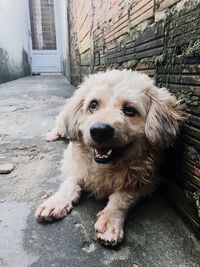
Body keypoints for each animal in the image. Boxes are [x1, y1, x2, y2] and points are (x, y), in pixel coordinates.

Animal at [35, 69, 183, 247]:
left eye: (129, 110)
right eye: (93, 105)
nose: (99, 131)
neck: (105, 166)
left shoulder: (146, 182)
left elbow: (121, 199)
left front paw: (110, 220)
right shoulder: (72, 163)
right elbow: (69, 183)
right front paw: (56, 202)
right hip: (64, 124)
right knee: (60, 125)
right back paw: (51, 135)